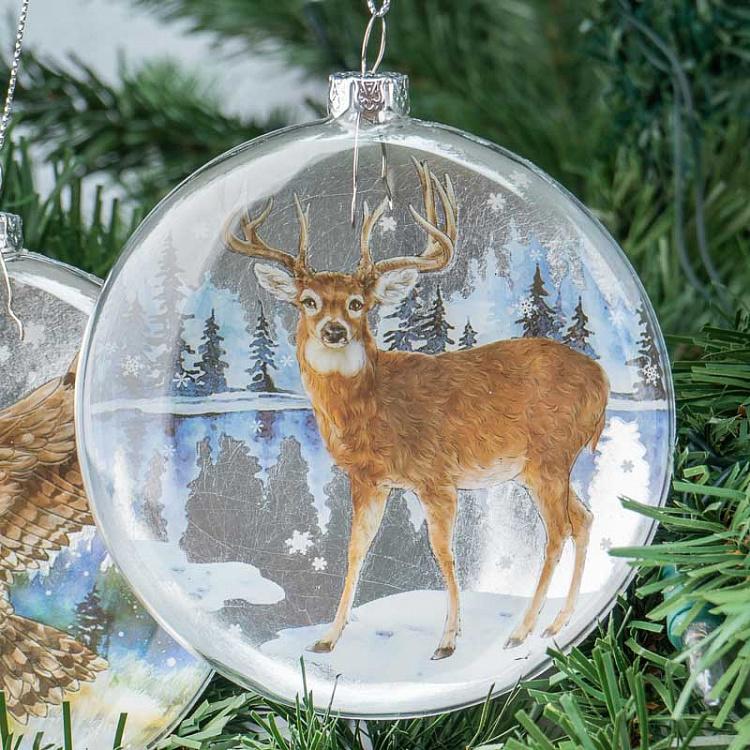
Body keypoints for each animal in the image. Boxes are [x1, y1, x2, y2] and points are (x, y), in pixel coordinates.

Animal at [223, 159, 609, 660]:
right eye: (308, 301)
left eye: (357, 304)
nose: (334, 330)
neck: (373, 405)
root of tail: (602, 381)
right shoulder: (369, 480)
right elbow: (355, 549)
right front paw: (327, 638)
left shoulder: (436, 477)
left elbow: (442, 552)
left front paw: (447, 641)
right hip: (542, 467)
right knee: (584, 519)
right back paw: (556, 624)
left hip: (551, 455)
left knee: (558, 531)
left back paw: (521, 631)